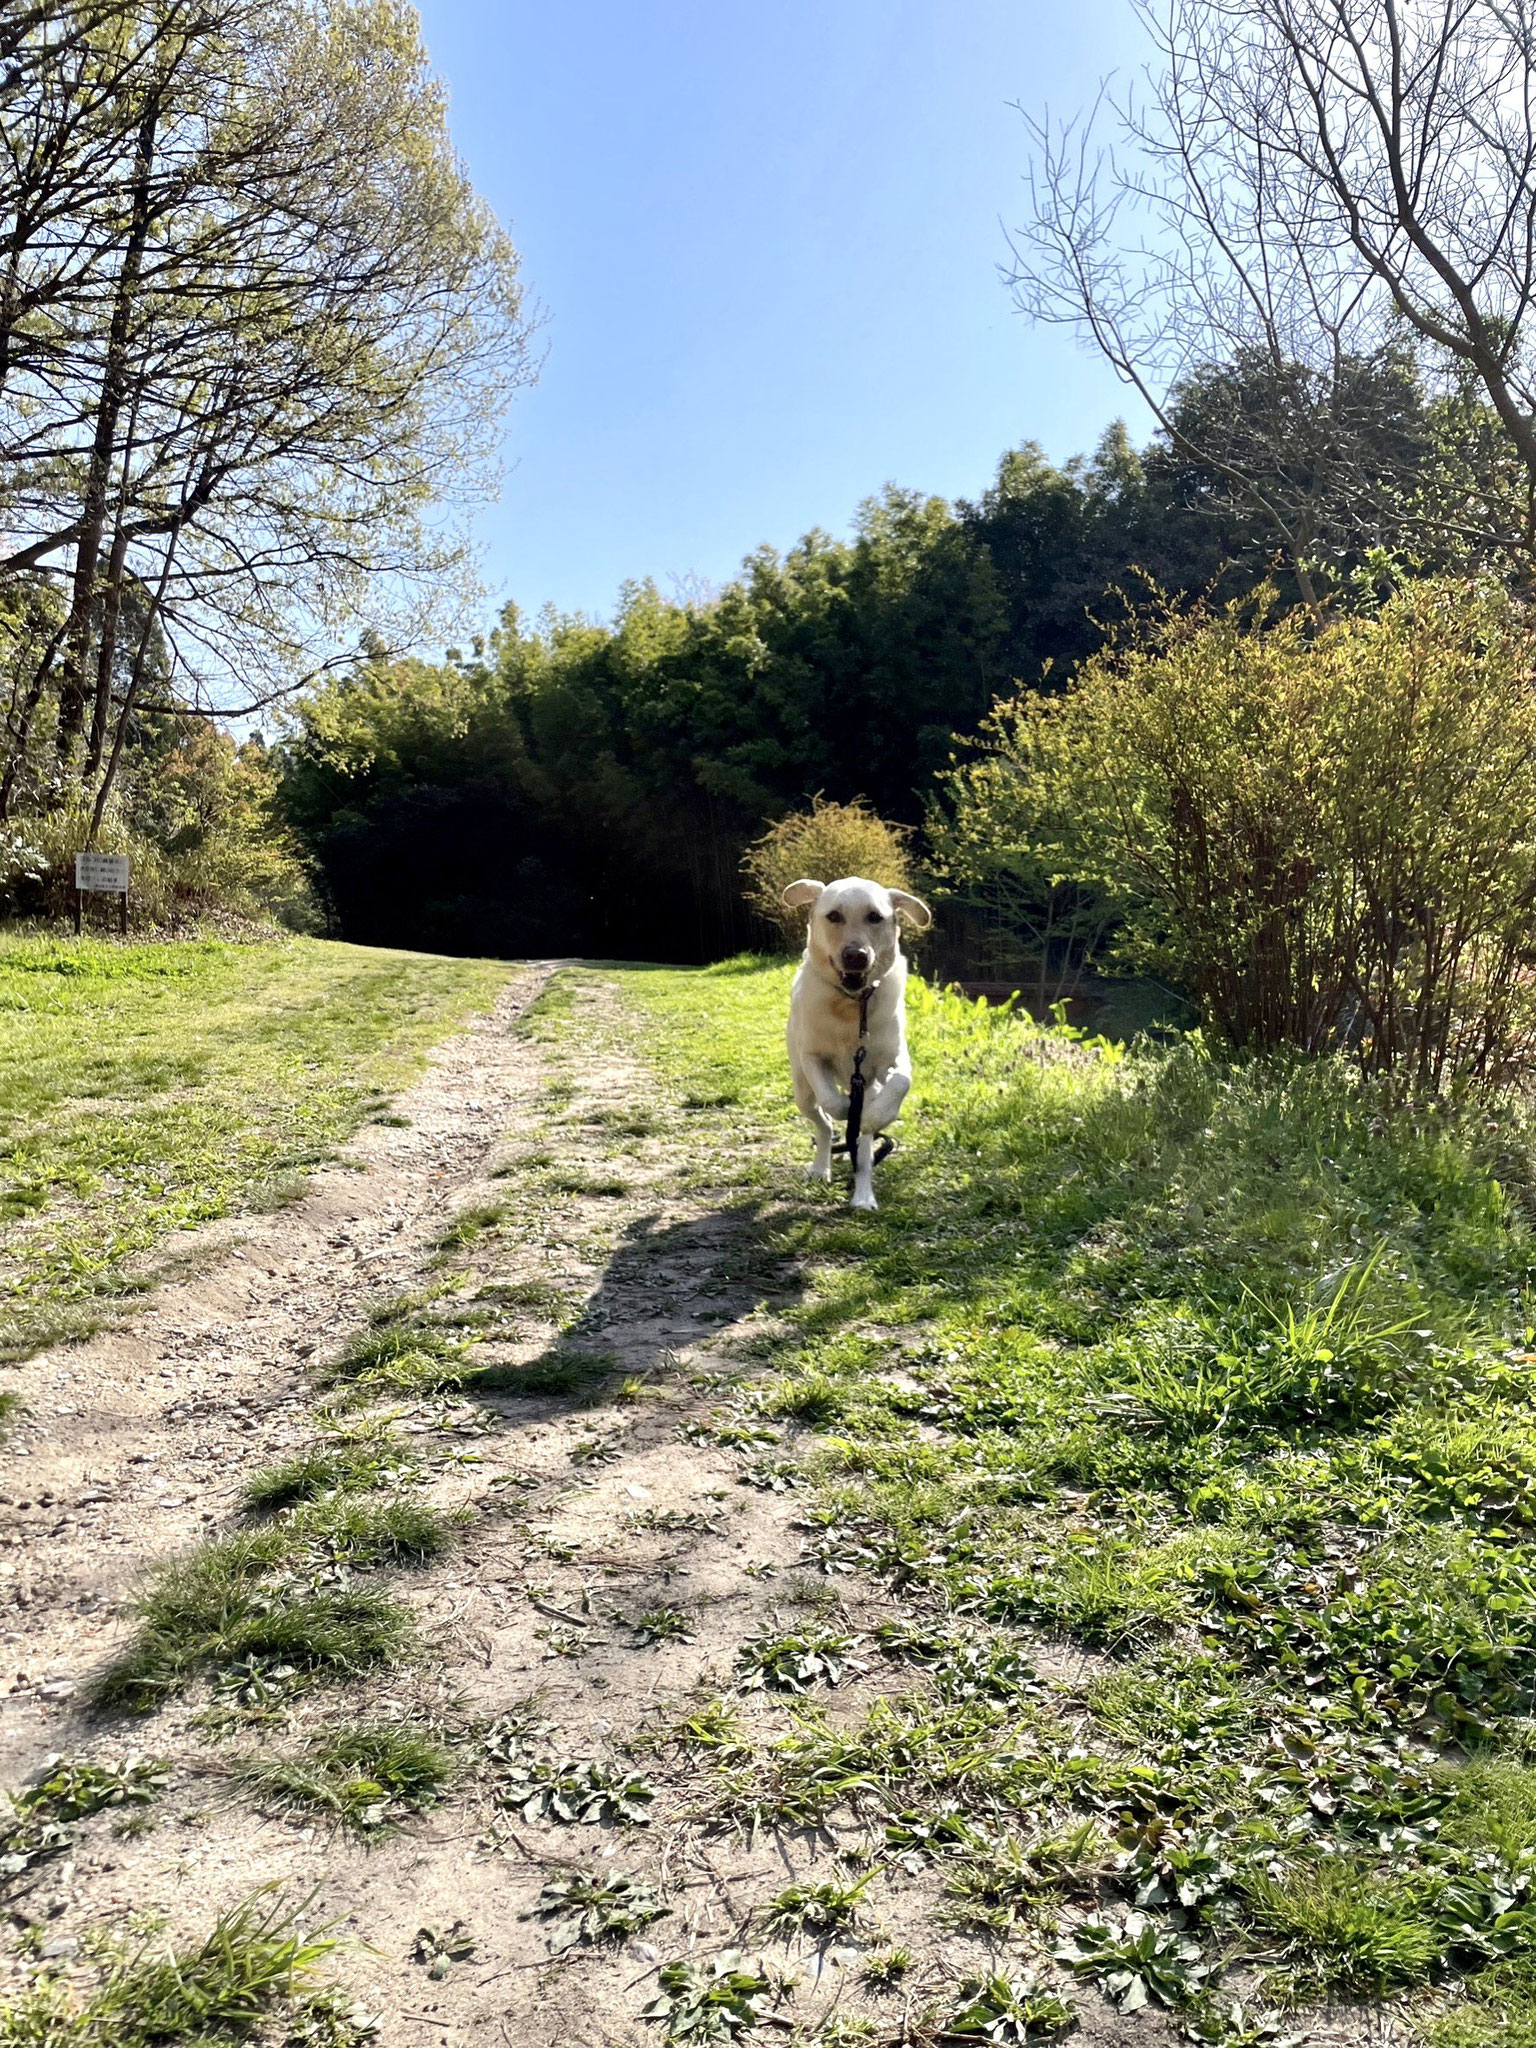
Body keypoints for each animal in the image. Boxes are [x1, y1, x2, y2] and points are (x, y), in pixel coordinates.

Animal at [786, 872, 933, 1204]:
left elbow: (901, 1082)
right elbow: (831, 1100)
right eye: (834, 916)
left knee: (863, 1154)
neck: (852, 1007)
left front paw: (875, 1115)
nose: (855, 956)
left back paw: (864, 1196)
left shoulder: (894, 1058)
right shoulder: (812, 1056)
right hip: (802, 1091)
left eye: (875, 917)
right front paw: (843, 1106)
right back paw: (821, 1168)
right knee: (823, 1126)